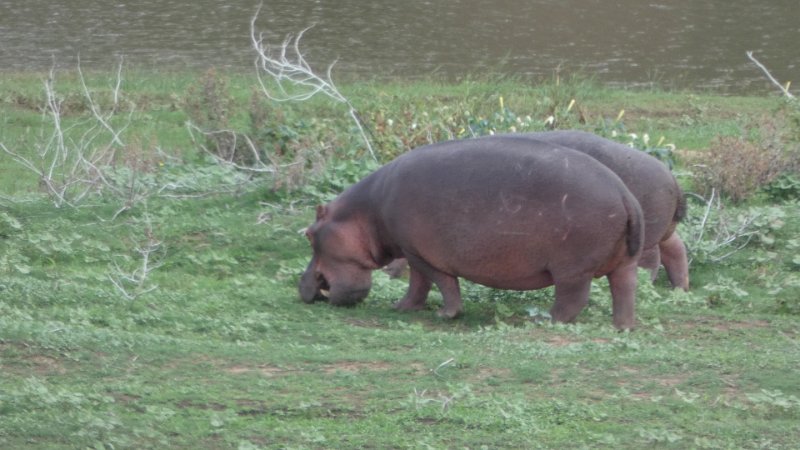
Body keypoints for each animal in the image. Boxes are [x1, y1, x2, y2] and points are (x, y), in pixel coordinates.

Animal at [300, 136, 645, 329]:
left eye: (309, 234)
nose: (301, 284)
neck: (364, 214)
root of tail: (624, 194)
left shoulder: (419, 253)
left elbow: (436, 282)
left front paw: (443, 314)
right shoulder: (412, 250)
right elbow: (421, 284)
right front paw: (402, 308)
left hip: (572, 269)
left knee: (571, 300)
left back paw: (541, 320)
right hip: (624, 263)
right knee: (624, 291)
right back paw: (623, 327)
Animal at [384, 131, 690, 291]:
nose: (387, 268)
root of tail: (672, 178)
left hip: (647, 232)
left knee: (651, 259)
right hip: (663, 229)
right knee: (676, 249)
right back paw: (679, 289)